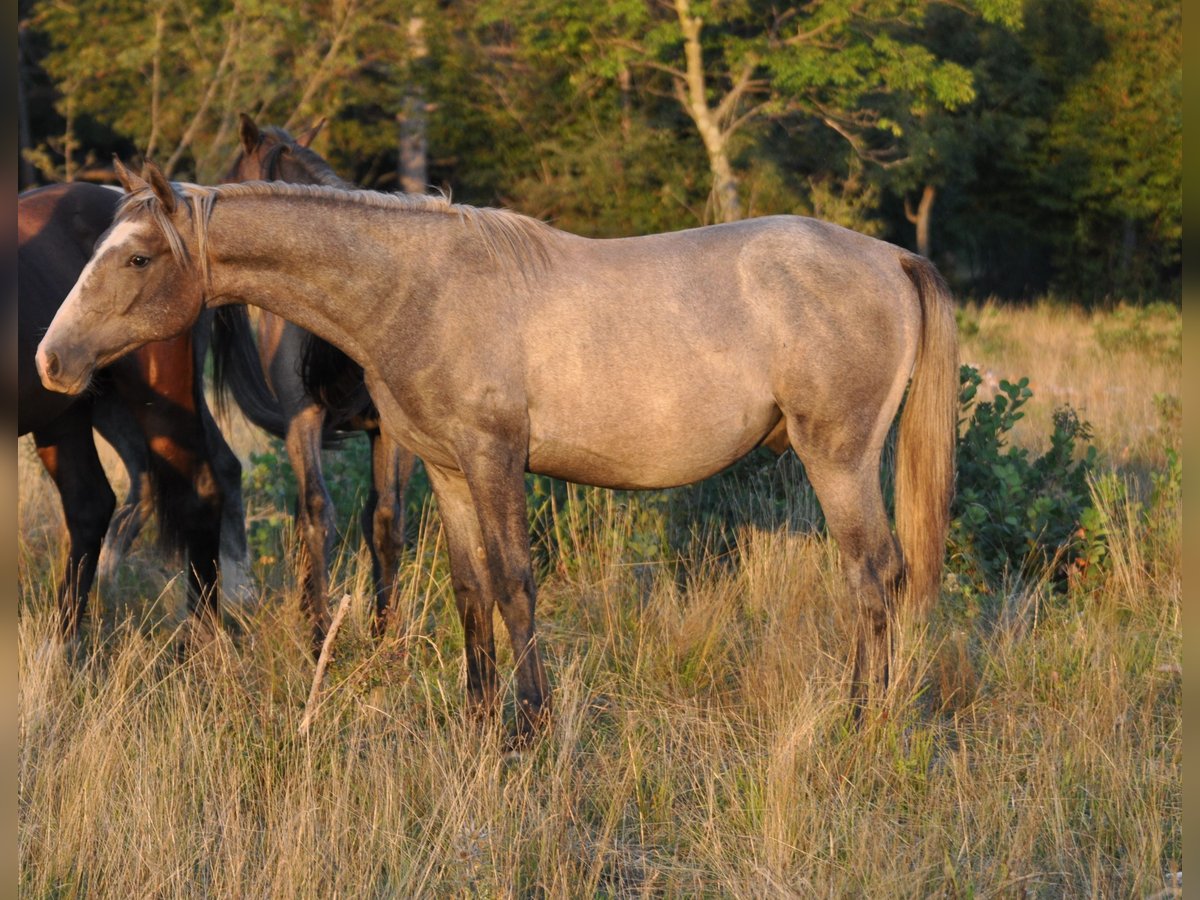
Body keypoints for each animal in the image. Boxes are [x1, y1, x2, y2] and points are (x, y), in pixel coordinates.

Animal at [17, 181, 246, 633]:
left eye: (137, 261)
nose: (46, 358)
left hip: (157, 399)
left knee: (201, 489)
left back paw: (207, 628)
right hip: (78, 408)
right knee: (95, 503)